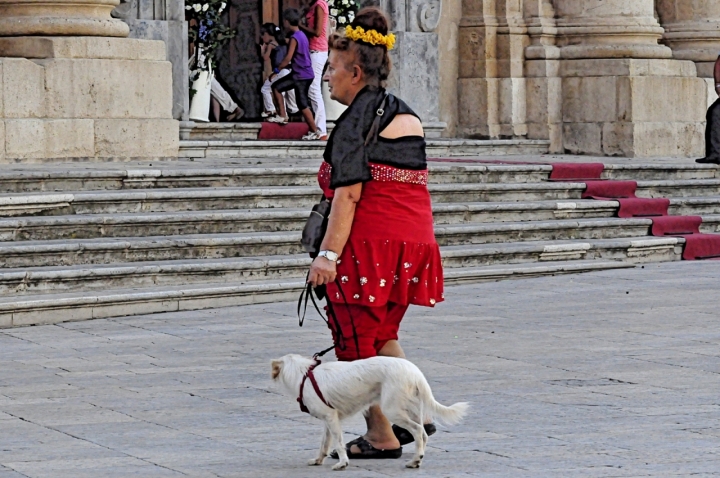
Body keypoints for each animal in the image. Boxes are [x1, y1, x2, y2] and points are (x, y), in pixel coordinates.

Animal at [270, 354, 466, 470]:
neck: (304, 375)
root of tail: (415, 372)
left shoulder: (331, 419)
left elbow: (339, 444)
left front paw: (342, 463)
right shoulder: (329, 420)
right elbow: (324, 444)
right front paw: (318, 460)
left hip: (393, 410)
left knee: (418, 431)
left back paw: (415, 459)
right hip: (413, 410)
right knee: (423, 433)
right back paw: (417, 460)